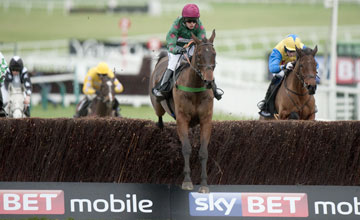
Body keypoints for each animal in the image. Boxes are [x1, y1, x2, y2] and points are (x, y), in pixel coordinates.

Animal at [150, 29, 217, 192]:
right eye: (198, 55)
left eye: (214, 54)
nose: (209, 81)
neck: (195, 87)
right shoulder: (182, 120)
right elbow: (186, 148)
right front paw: (187, 181)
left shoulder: (206, 120)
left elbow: (203, 151)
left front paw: (204, 184)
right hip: (158, 106)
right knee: (159, 116)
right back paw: (160, 125)